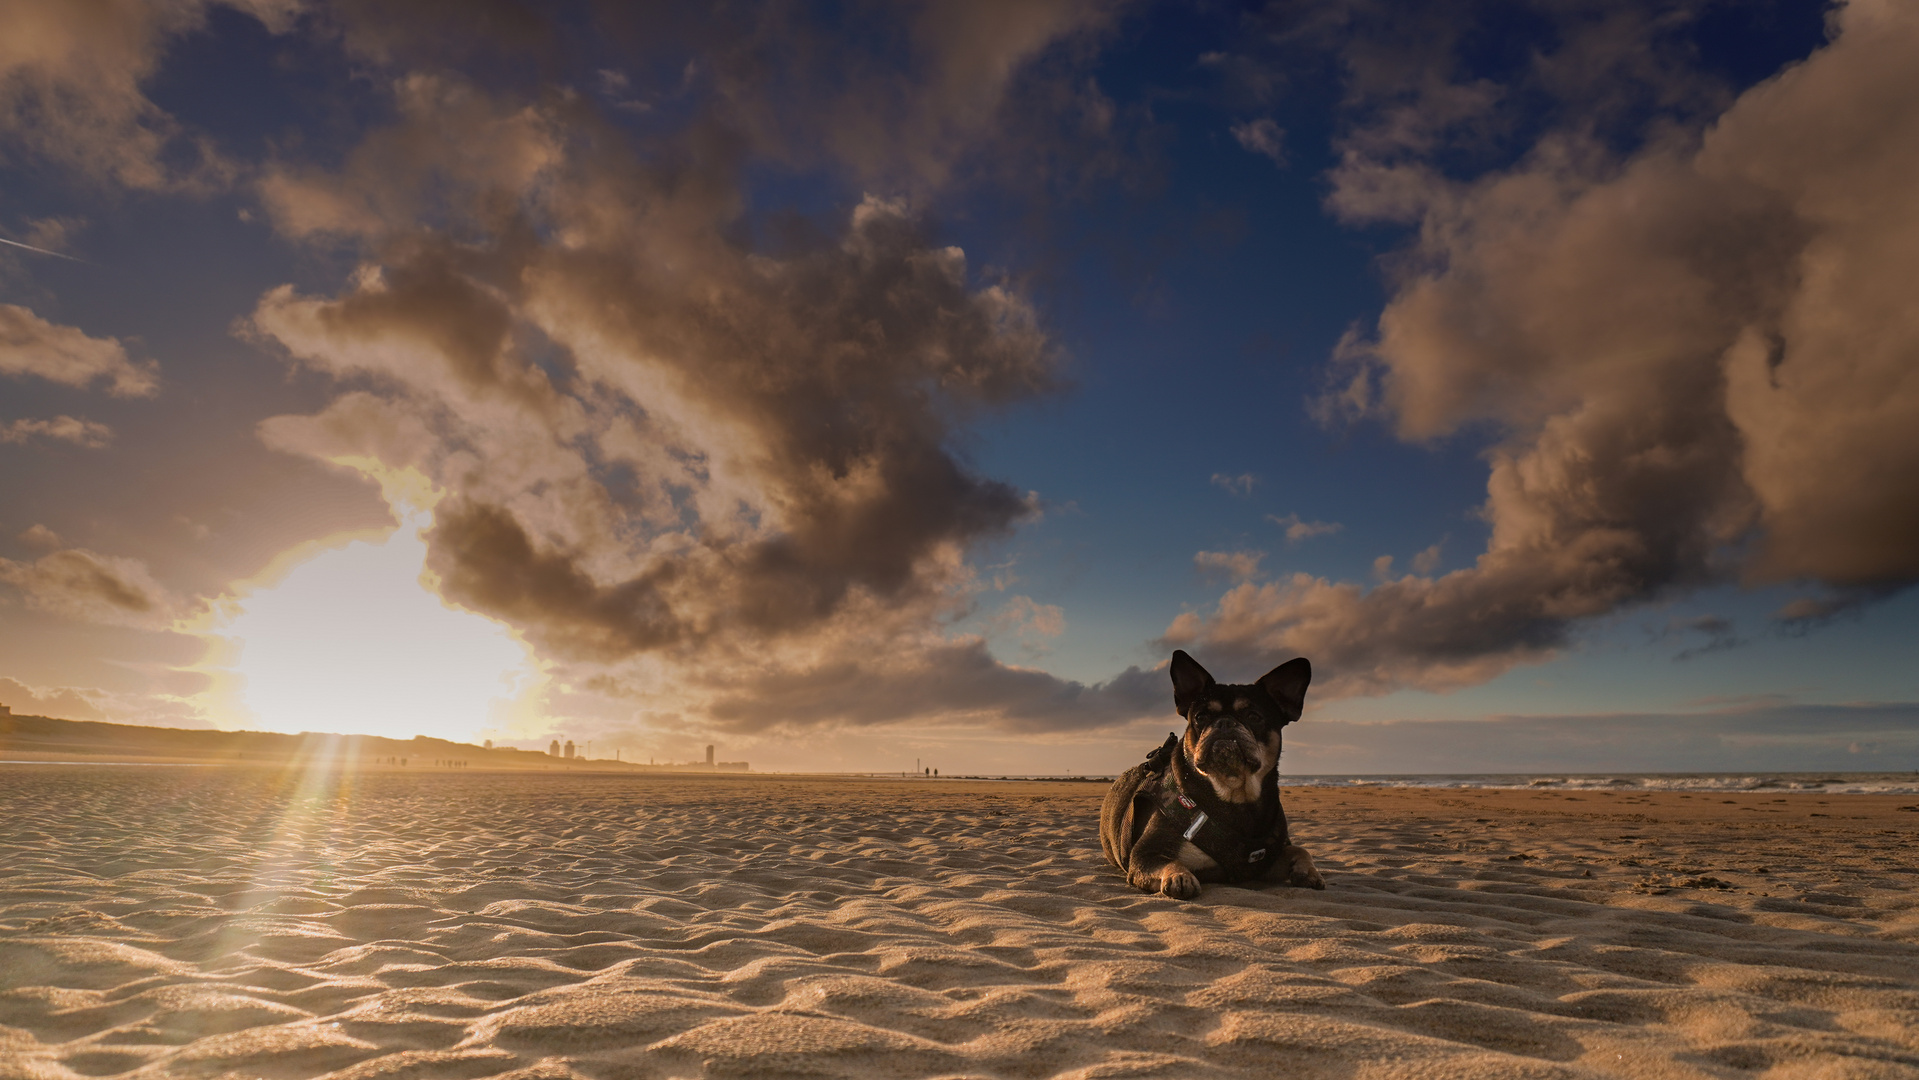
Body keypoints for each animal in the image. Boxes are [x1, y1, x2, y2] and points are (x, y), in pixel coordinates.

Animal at [1105, 656, 1327, 901]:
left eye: (1254, 717)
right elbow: (1168, 862)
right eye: (1200, 717)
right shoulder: (1146, 854)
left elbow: (1299, 849)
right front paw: (1179, 876)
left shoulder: (1264, 861)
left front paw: (1308, 871)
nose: (1224, 722)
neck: (1234, 795)